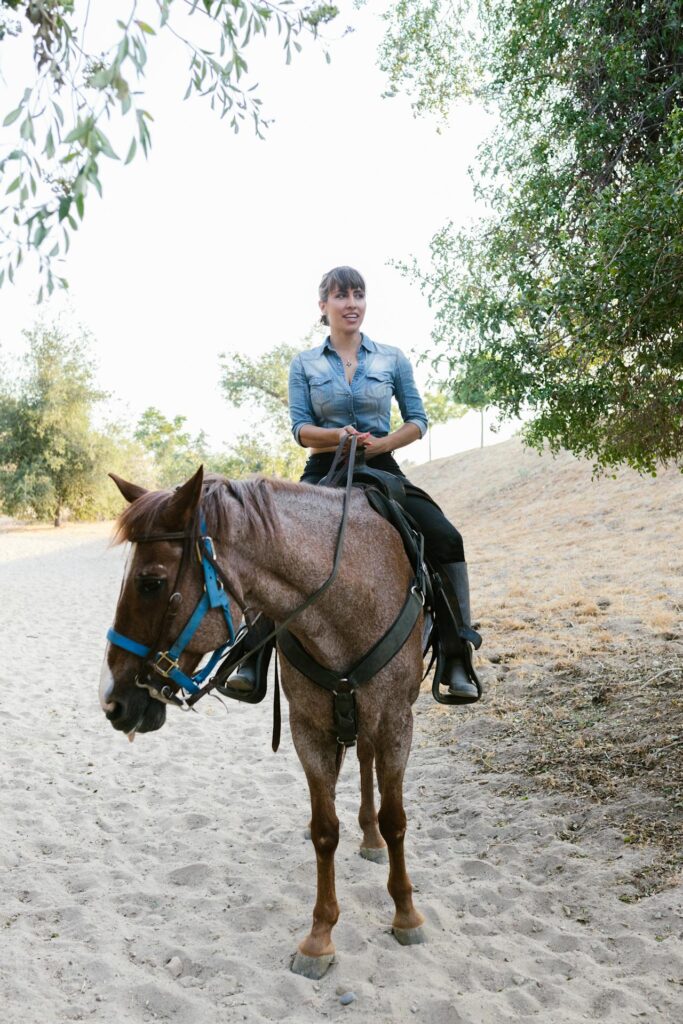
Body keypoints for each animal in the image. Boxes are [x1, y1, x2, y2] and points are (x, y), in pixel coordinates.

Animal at [100, 464, 428, 974]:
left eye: (151, 582)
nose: (113, 702)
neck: (349, 600)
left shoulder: (396, 721)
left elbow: (396, 819)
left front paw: (406, 914)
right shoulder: (307, 729)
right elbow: (324, 831)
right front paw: (320, 936)